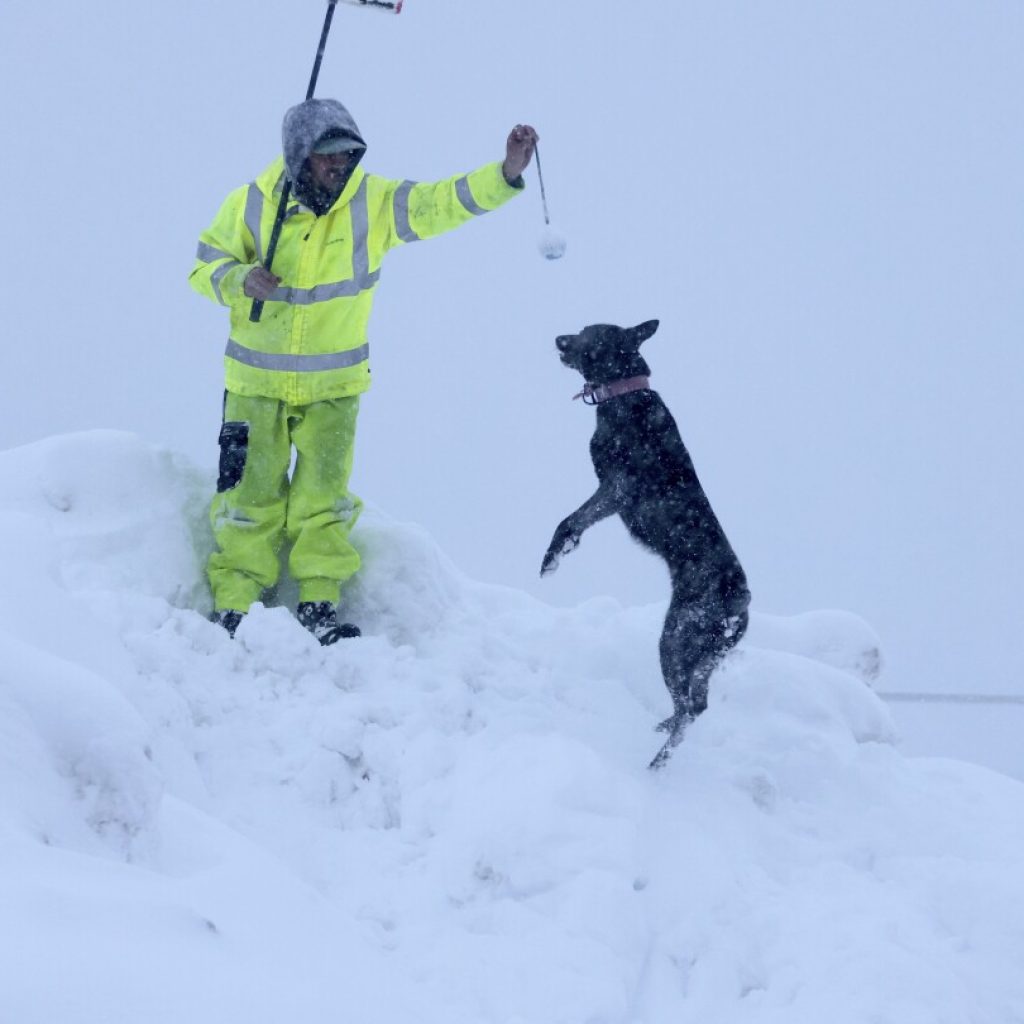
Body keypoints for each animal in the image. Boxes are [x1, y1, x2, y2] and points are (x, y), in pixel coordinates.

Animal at [540, 321, 749, 770]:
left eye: (588, 333)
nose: (559, 340)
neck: (624, 393)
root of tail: (741, 604)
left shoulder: (617, 488)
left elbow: (570, 520)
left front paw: (554, 558)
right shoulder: (611, 493)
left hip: (677, 637)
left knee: (692, 707)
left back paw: (658, 762)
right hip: (703, 655)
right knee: (694, 703)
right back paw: (664, 730)